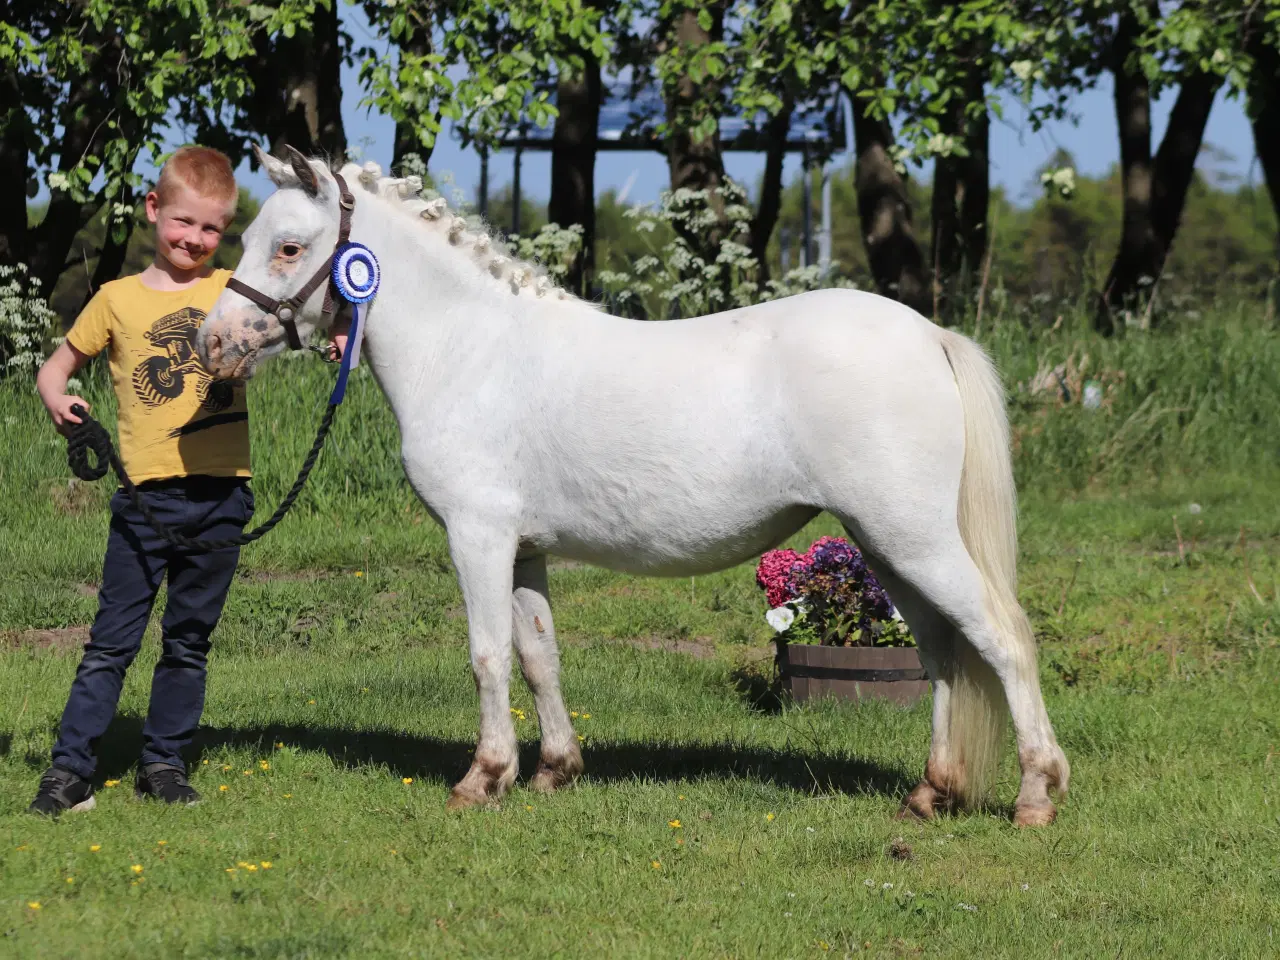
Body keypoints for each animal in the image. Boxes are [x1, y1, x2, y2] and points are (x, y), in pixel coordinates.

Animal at [192, 148, 1070, 829]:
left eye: (289, 247)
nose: (214, 344)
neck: (471, 349)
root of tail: (929, 334)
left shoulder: (477, 535)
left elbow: (487, 655)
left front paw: (484, 778)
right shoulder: (524, 548)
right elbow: (538, 654)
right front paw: (554, 770)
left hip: (910, 538)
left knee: (1001, 639)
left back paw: (1036, 795)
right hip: (886, 545)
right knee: (945, 653)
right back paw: (932, 793)